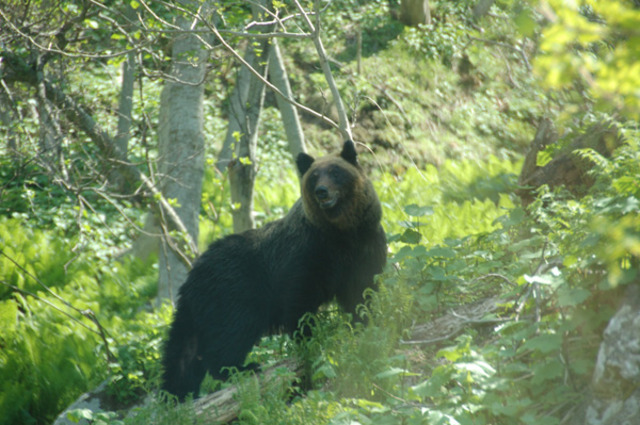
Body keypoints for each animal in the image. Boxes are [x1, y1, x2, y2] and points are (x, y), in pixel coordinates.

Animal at [162, 139, 388, 398]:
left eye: (335, 172)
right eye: (314, 176)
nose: (322, 191)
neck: (341, 233)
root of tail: (193, 274)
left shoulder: (365, 248)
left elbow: (362, 294)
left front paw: (363, 324)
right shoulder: (307, 256)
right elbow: (300, 302)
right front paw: (310, 338)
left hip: (202, 309)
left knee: (184, 352)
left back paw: (178, 392)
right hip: (234, 293)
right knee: (230, 334)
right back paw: (241, 368)